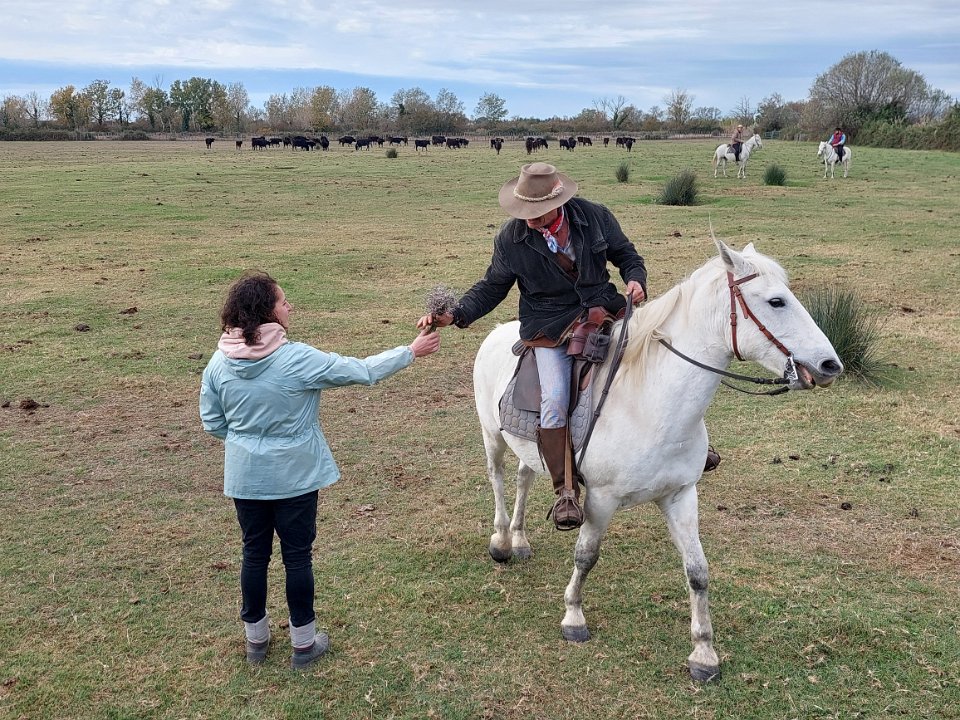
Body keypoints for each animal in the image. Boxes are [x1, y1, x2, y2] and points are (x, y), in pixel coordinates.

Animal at [472, 237, 843, 682]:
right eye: (776, 301)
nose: (830, 365)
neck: (650, 402)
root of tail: (499, 331)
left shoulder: (681, 495)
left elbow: (698, 571)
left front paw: (704, 653)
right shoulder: (601, 499)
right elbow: (586, 555)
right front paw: (574, 616)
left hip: (529, 447)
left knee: (525, 477)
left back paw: (521, 539)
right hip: (493, 436)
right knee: (498, 479)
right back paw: (501, 542)